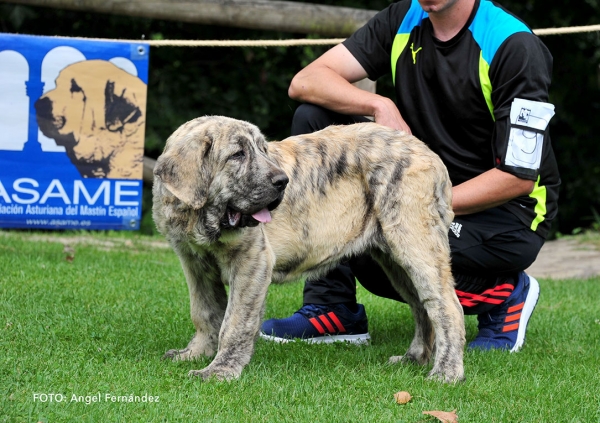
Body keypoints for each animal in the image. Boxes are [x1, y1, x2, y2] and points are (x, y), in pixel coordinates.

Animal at [152, 116, 466, 384]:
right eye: (238, 155)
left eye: (263, 150)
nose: (282, 182)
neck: (201, 217)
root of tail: (430, 154)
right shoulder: (194, 263)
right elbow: (204, 311)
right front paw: (196, 353)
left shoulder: (251, 261)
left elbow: (235, 322)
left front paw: (221, 369)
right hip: (394, 260)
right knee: (421, 306)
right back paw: (414, 358)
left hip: (416, 242)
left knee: (446, 306)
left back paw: (447, 372)